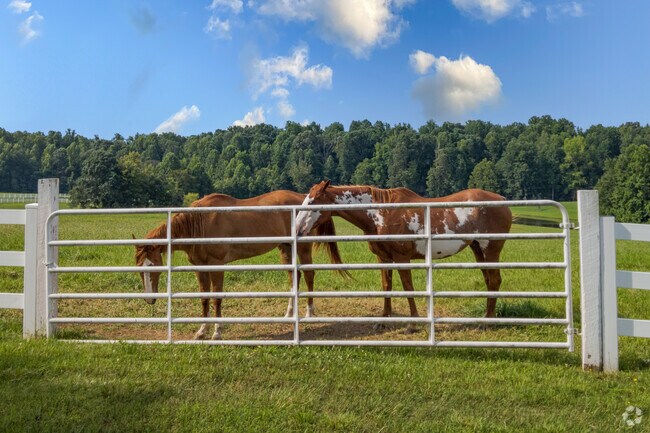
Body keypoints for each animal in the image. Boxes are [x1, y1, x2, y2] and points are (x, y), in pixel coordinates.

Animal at [134, 190, 347, 340]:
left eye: (153, 265)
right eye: (138, 269)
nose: (149, 300)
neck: (200, 223)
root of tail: (303, 198)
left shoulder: (216, 265)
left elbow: (216, 298)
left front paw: (217, 332)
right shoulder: (199, 267)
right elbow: (204, 299)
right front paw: (202, 331)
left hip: (303, 248)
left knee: (309, 274)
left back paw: (309, 313)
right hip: (286, 248)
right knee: (294, 276)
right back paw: (289, 314)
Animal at [295, 181, 512, 330]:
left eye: (312, 201)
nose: (297, 229)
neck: (381, 213)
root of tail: (501, 200)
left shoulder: (402, 257)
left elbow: (408, 287)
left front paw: (413, 323)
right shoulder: (383, 258)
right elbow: (386, 286)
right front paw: (383, 319)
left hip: (490, 249)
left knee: (494, 280)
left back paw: (488, 321)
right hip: (477, 249)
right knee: (489, 280)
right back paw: (486, 317)